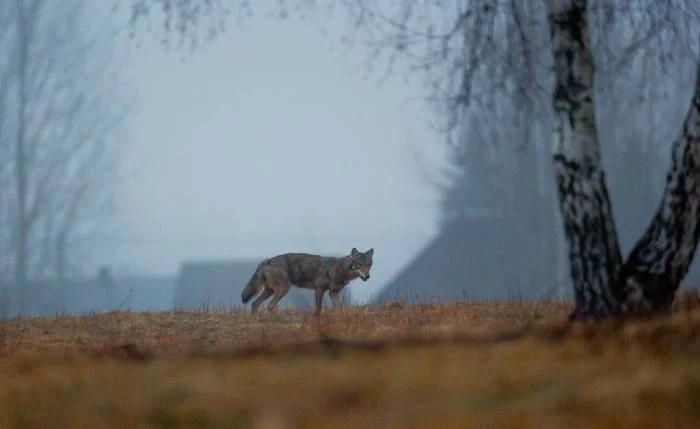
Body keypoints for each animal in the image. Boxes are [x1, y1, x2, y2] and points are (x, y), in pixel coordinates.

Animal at [241, 247, 374, 314]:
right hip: (282, 290)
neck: (340, 269)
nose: (367, 276)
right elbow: (318, 310)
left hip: (270, 291)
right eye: (360, 264)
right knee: (269, 306)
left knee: (255, 304)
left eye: (369, 265)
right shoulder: (319, 289)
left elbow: (339, 309)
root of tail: (268, 260)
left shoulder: (333, 293)